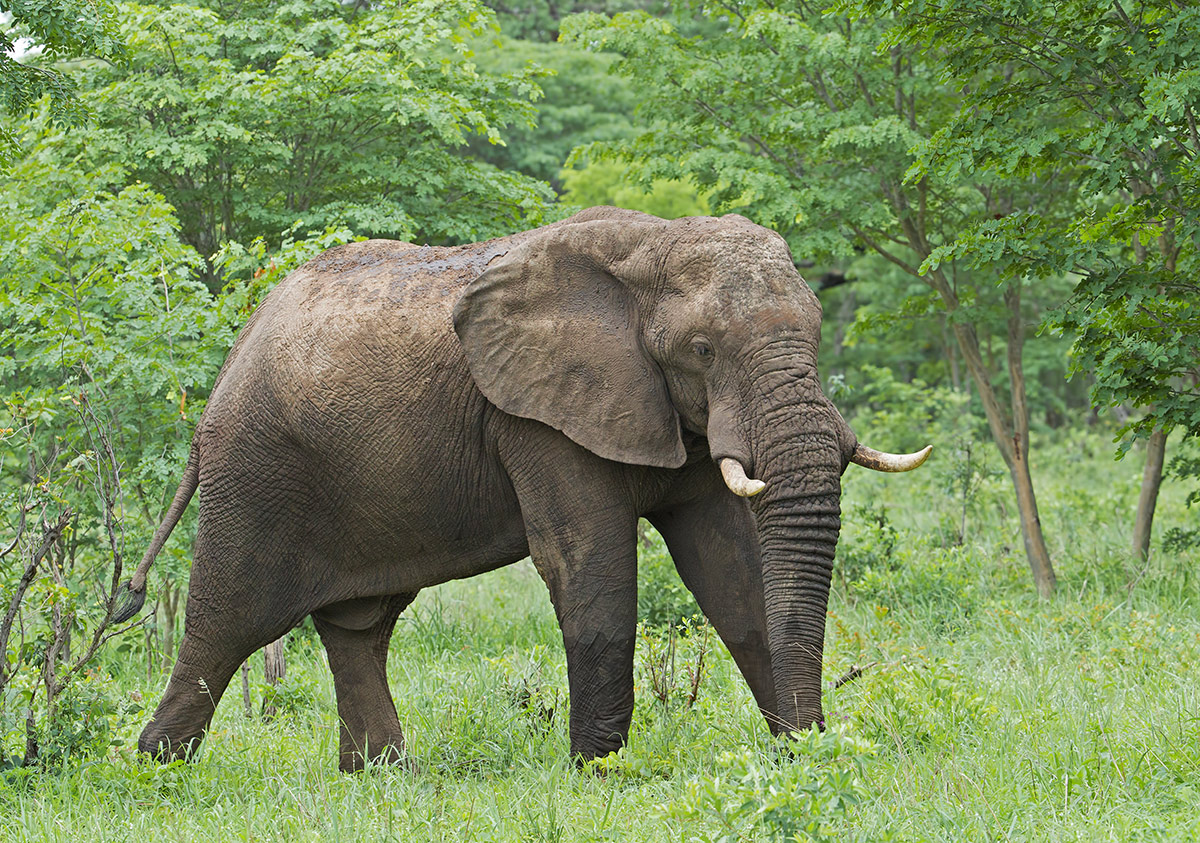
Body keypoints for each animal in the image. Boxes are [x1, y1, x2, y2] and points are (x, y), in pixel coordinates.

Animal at [117, 206, 930, 772]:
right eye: (702, 349)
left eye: (818, 330)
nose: (816, 740)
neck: (651, 246)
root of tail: (226, 368)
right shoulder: (536, 417)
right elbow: (589, 568)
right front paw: (598, 775)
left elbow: (731, 572)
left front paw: (804, 759)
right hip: (256, 470)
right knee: (226, 623)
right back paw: (156, 770)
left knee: (359, 626)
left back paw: (381, 776)